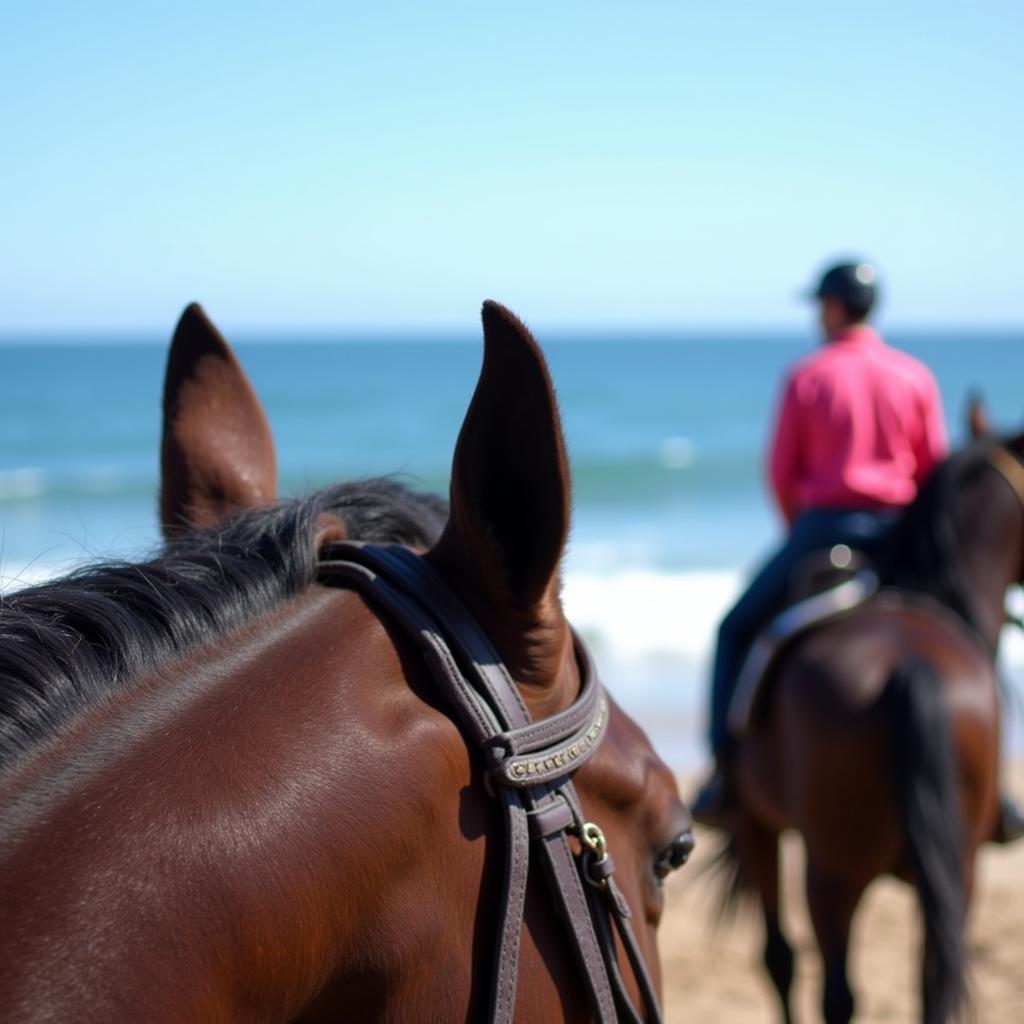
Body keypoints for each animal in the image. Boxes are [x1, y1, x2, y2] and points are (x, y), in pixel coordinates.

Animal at [720, 403, 1024, 1019]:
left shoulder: (757, 821)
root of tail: (910, 666)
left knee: (831, 987)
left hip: (830, 874)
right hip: (957, 872)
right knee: (931, 986)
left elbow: (778, 958)